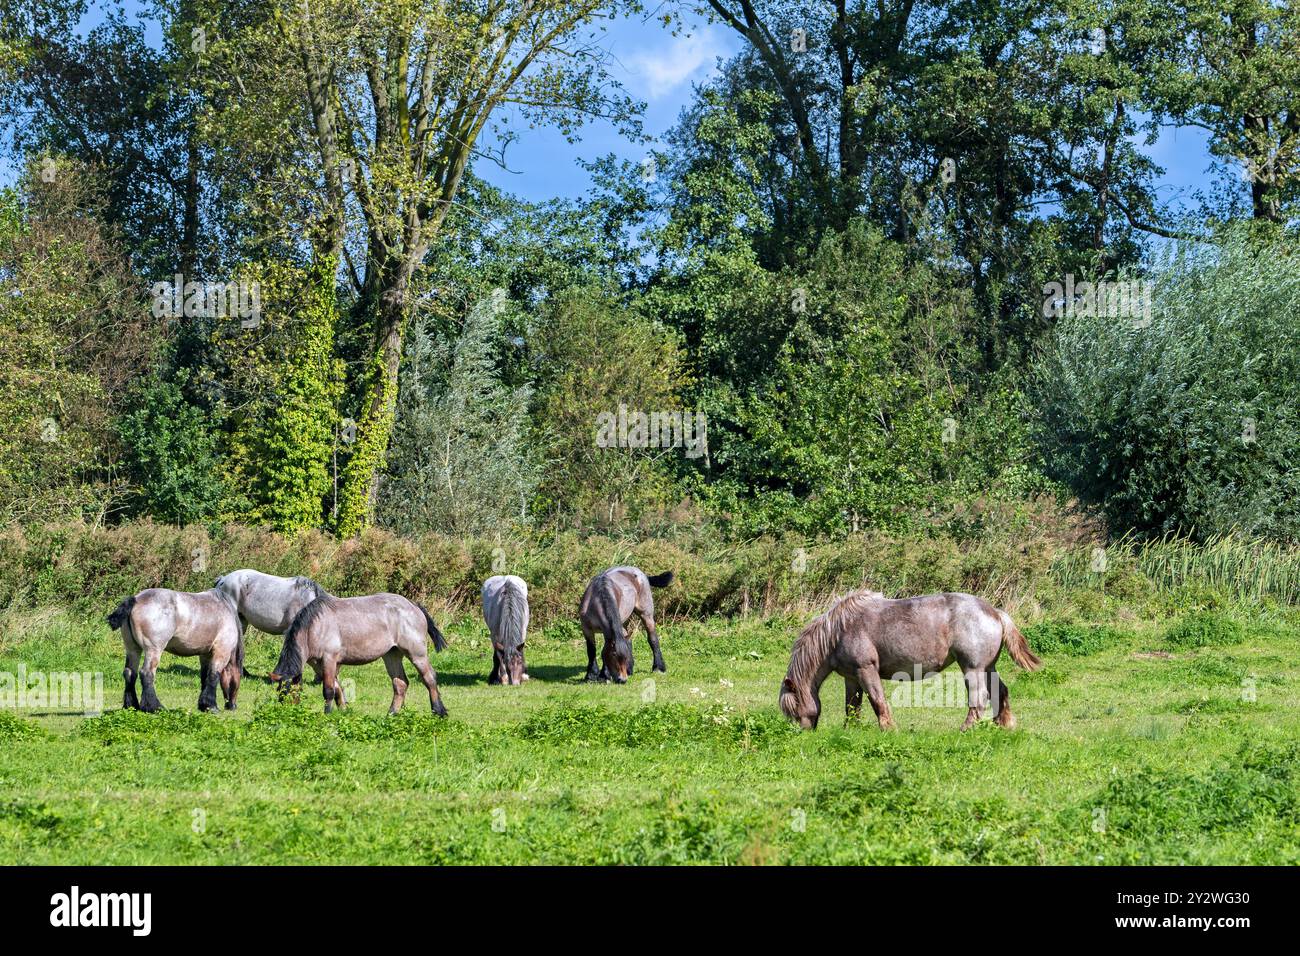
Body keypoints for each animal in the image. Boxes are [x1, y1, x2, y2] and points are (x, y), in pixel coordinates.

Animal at [107, 588, 244, 713]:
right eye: (236, 682)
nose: (232, 706)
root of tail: (136, 599)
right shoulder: (221, 652)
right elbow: (213, 676)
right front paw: (212, 707)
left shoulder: (205, 654)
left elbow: (204, 677)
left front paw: (203, 705)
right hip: (153, 651)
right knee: (147, 673)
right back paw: (155, 707)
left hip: (133, 650)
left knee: (130, 673)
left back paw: (132, 706)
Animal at [269, 593, 449, 716]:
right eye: (279, 692)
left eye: (286, 692)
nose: (287, 714)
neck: (314, 627)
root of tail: (415, 606)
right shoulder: (318, 664)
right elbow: (338, 689)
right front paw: (343, 711)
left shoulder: (329, 659)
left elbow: (328, 690)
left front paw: (327, 714)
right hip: (392, 655)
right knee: (400, 684)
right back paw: (391, 715)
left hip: (416, 654)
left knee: (429, 678)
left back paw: (439, 711)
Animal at [779, 590, 1041, 731]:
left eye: (793, 710)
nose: (802, 733)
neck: (838, 631)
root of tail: (995, 612)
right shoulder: (851, 677)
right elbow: (852, 707)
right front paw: (850, 730)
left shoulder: (866, 670)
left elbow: (877, 701)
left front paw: (888, 728)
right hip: (988, 667)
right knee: (1000, 691)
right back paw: (1002, 724)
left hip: (973, 668)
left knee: (979, 698)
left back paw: (966, 729)